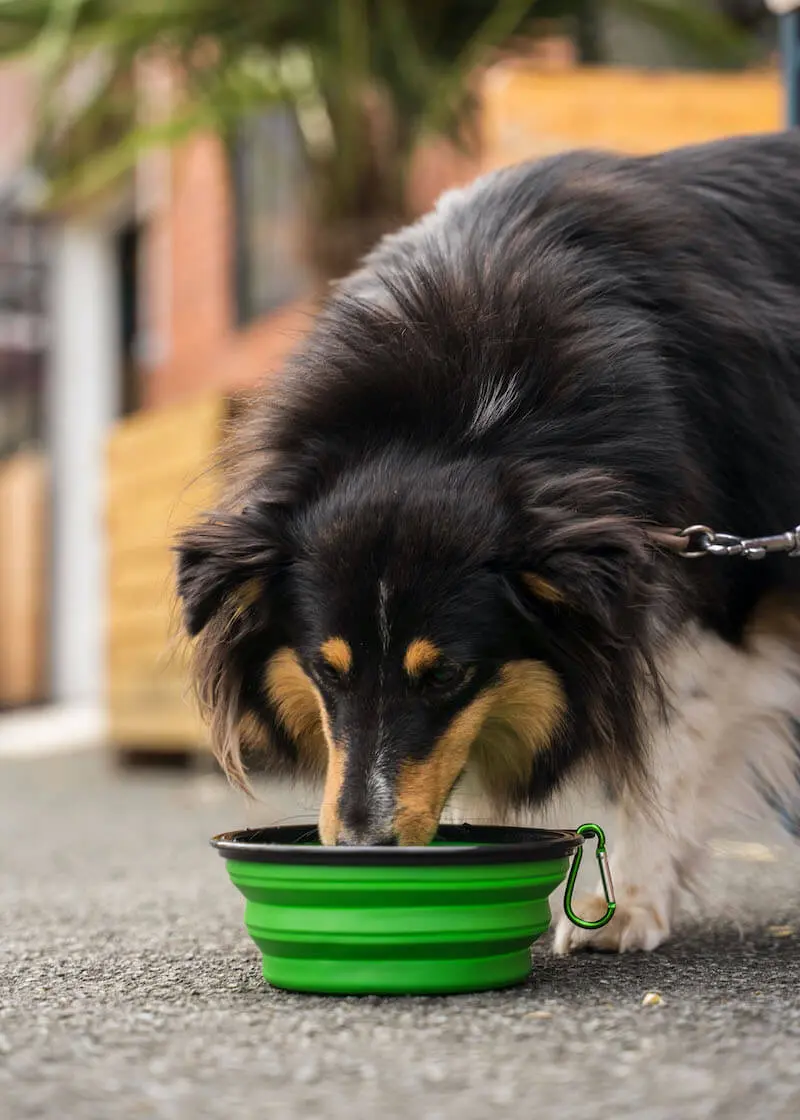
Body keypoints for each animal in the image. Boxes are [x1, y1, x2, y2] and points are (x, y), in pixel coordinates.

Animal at [178, 131, 797, 954]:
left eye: (445, 675)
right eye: (325, 671)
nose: (363, 848)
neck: (468, 413)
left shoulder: (703, 603)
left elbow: (660, 748)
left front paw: (628, 905)